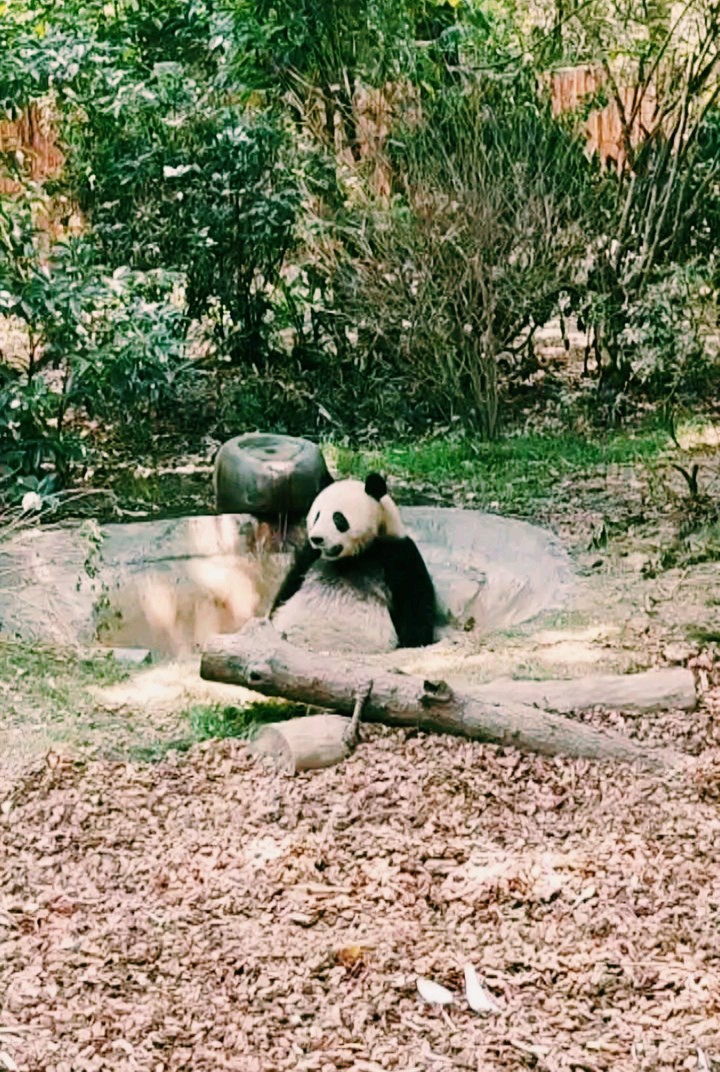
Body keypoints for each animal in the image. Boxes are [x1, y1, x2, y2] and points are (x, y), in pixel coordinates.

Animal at [269, 472, 436, 654]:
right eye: (317, 516)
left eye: (338, 518)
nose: (317, 538)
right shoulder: (311, 555)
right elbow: (292, 582)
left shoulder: (397, 554)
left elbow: (415, 598)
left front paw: (412, 641)